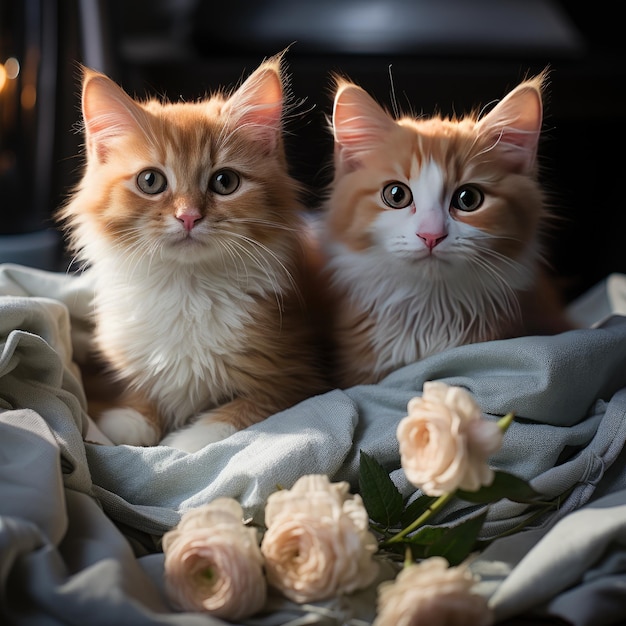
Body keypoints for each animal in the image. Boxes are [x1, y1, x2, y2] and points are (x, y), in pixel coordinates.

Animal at [59, 54, 330, 448]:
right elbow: (138, 395)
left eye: (225, 182)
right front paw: (128, 420)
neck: (186, 289)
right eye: (150, 181)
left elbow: (232, 418)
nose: (188, 216)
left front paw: (180, 442)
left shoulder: (299, 378)